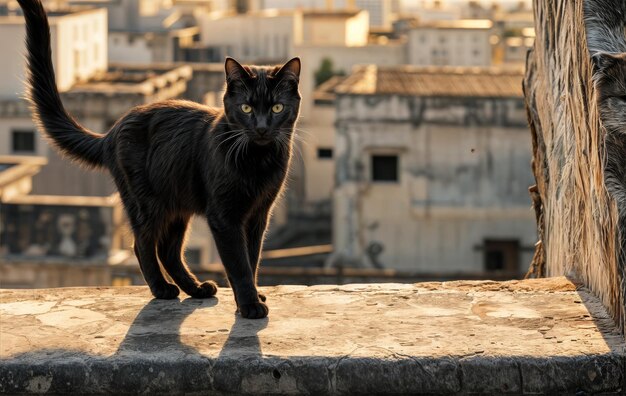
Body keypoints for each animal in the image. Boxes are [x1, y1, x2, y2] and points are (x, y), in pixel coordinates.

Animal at [18, 0, 302, 318]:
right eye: (246, 108)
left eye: (277, 108)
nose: (262, 128)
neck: (258, 160)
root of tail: (113, 130)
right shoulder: (225, 217)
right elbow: (238, 262)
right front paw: (250, 304)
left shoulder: (258, 214)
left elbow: (252, 258)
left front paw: (252, 297)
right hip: (147, 202)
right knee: (142, 243)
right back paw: (162, 289)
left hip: (176, 203)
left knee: (169, 250)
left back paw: (196, 289)